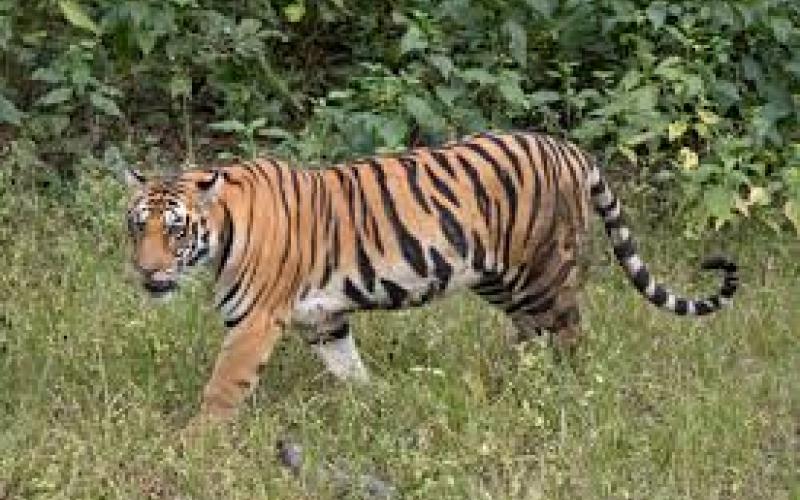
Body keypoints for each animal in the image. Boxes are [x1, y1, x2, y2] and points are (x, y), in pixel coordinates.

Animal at [122, 131, 738, 423]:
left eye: (176, 231)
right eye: (136, 226)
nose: (147, 272)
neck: (221, 234)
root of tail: (569, 148)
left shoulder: (253, 321)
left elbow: (223, 386)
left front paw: (196, 442)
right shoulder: (324, 318)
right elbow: (349, 367)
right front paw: (374, 403)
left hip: (543, 272)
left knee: (570, 334)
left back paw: (566, 389)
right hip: (501, 279)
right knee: (532, 334)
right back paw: (514, 383)